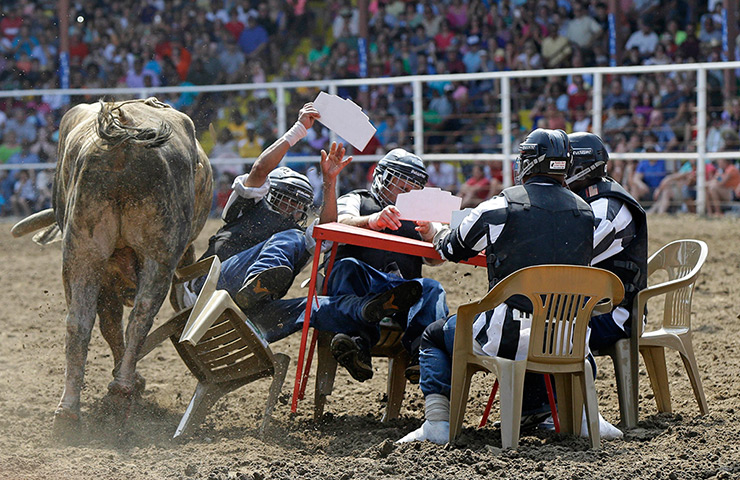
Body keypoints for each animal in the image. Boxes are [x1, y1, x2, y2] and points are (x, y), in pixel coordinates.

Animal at [15, 96, 212, 428]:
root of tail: (123, 144)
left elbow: (106, 323)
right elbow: (113, 324)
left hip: (83, 251)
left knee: (79, 322)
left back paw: (70, 411)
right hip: (156, 256)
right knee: (139, 317)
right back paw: (121, 389)